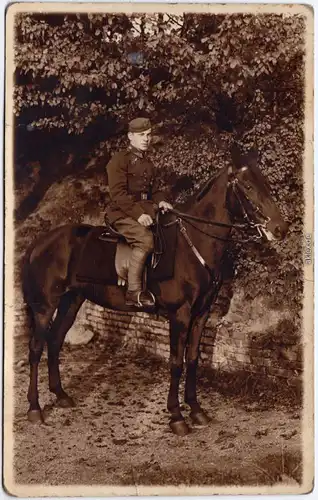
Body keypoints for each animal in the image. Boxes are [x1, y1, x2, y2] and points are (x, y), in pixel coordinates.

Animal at [20, 146, 288, 436]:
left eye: (265, 183)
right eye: (248, 186)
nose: (279, 228)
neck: (193, 245)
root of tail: (40, 242)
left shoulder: (201, 314)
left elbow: (193, 359)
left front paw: (196, 410)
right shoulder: (180, 314)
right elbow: (176, 362)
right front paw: (177, 417)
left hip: (72, 300)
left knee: (55, 340)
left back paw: (61, 395)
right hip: (45, 306)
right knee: (36, 348)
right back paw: (35, 408)